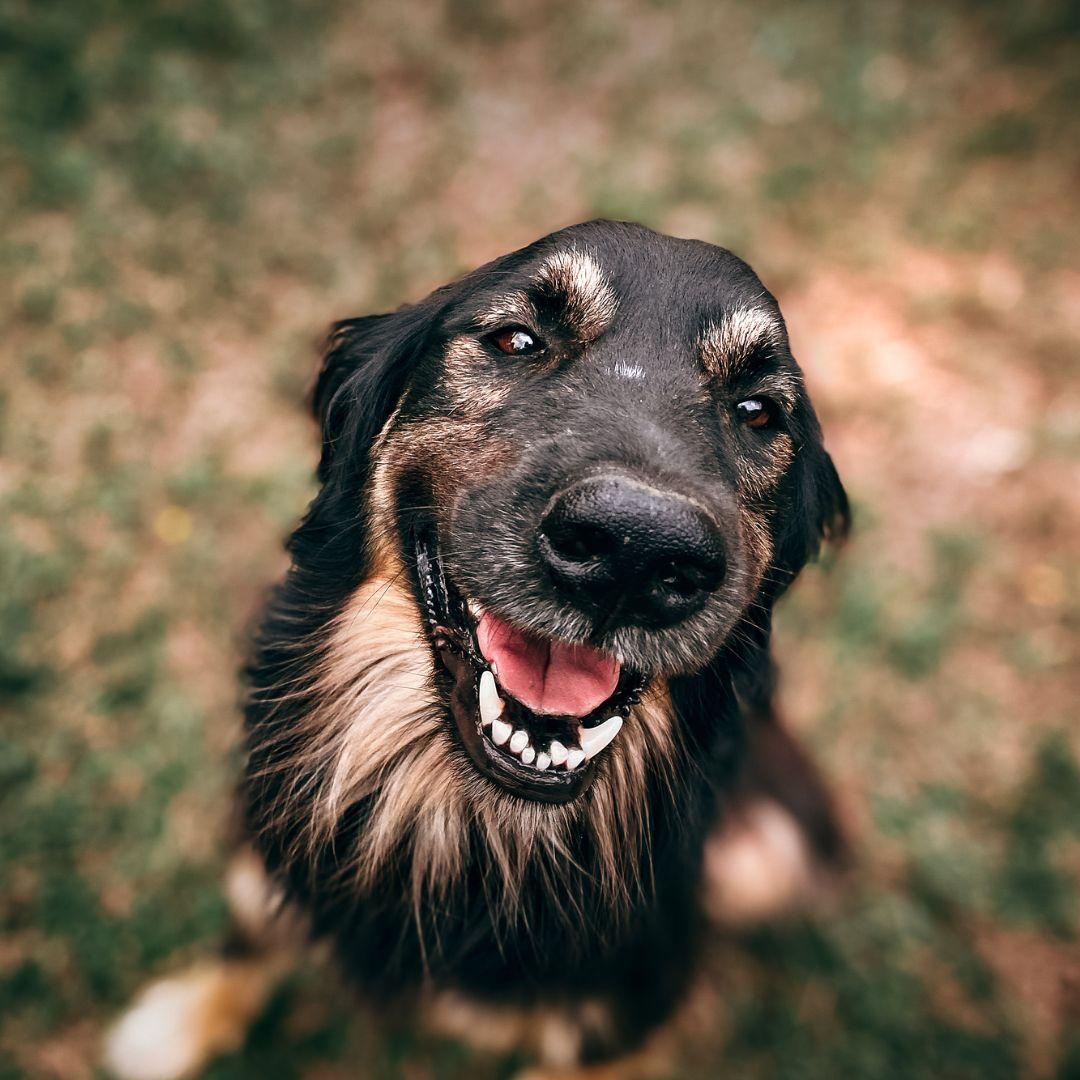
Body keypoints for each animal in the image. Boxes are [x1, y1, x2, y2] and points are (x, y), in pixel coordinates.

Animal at [105, 221, 846, 1080]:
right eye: (516, 340)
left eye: (758, 412)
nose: (634, 553)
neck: (466, 823)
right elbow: (250, 928)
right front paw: (187, 1020)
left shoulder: (627, 1006)